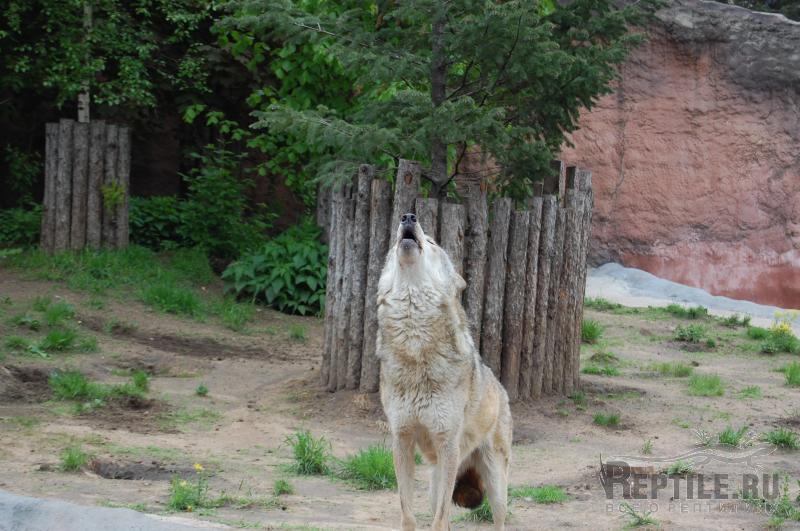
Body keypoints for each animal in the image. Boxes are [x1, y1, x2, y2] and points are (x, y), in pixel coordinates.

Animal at [376, 212, 512, 531]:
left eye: (433, 242)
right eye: (393, 243)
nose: (408, 216)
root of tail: (501, 388)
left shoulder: (447, 442)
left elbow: (438, 522)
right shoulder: (401, 440)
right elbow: (408, 514)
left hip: (494, 485)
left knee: (498, 519)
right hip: (436, 481)